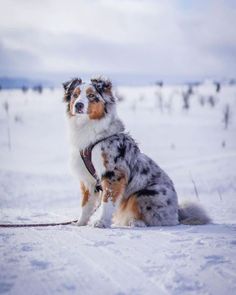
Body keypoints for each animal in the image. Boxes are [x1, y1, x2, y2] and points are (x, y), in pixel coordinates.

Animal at [62, 76, 210, 229]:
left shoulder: (113, 173)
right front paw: (80, 223)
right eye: (75, 95)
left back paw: (135, 222)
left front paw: (101, 222)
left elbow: (108, 201)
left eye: (91, 95)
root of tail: (177, 213)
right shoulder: (88, 180)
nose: (78, 105)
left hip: (143, 194)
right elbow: (86, 205)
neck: (89, 132)